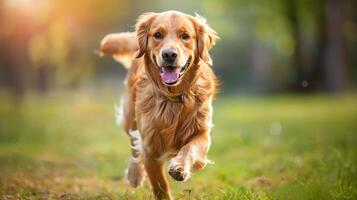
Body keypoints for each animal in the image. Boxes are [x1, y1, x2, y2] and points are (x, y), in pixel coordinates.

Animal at [98, 11, 218, 200]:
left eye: (185, 36)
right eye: (158, 35)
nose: (169, 54)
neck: (173, 97)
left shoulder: (202, 133)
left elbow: (190, 148)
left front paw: (179, 167)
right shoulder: (150, 146)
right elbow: (159, 184)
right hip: (130, 113)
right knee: (133, 139)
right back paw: (134, 174)